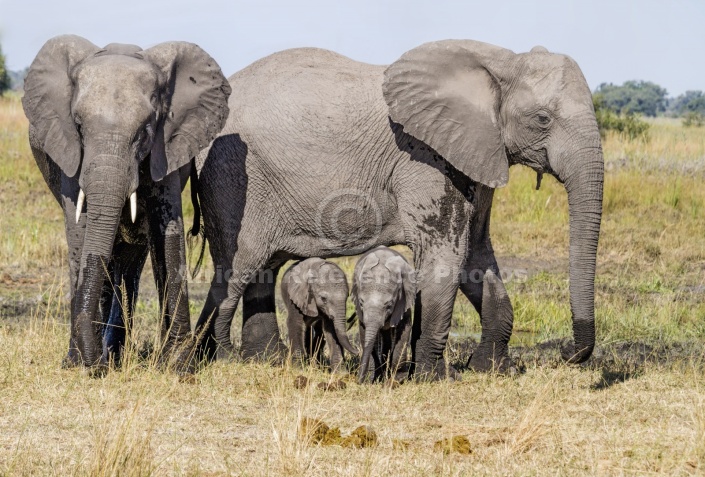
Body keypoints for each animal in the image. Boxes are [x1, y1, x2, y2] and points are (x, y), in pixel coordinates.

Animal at [21, 36, 231, 372]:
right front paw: (80, 363)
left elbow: (167, 232)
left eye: (145, 131)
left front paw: (176, 364)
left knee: (132, 262)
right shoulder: (70, 152)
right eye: (78, 127)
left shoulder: (165, 147)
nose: (96, 363)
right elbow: (81, 232)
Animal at [350, 245, 416, 384]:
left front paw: (397, 380)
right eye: (361, 303)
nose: (358, 381)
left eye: (389, 305)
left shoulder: (404, 301)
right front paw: (372, 379)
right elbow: (366, 334)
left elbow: (404, 330)